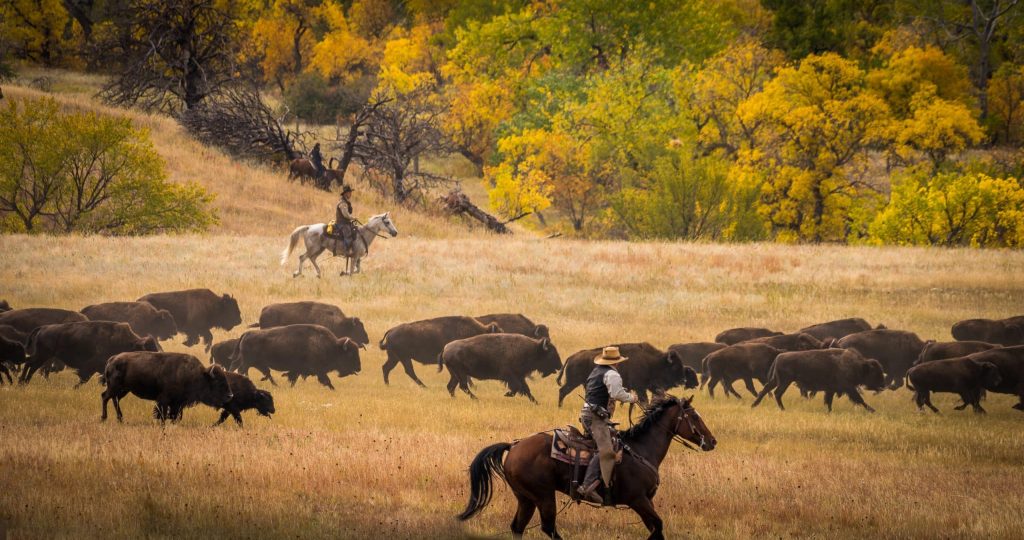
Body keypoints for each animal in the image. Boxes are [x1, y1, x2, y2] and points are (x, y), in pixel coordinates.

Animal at [21, 321, 159, 386]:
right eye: (146, 351)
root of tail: (43, 328)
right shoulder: (90, 367)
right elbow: (84, 378)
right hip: (42, 355)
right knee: (31, 366)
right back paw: (23, 382)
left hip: (44, 356)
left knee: (33, 366)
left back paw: (23, 382)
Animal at [102, 352, 233, 423]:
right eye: (217, 381)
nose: (230, 395)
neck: (197, 375)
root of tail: (112, 360)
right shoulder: (164, 400)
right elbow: (163, 414)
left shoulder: (178, 403)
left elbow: (176, 416)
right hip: (114, 387)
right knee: (105, 397)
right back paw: (104, 418)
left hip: (124, 390)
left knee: (114, 399)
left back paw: (119, 419)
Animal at [230, 324, 361, 389]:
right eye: (350, 354)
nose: (359, 368)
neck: (332, 346)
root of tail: (247, 333)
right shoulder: (319, 371)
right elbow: (327, 381)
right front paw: (333, 389)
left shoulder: (298, 370)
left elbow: (293, 378)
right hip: (248, 361)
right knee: (243, 370)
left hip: (251, 362)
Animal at [556, 342, 698, 407]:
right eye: (675, 366)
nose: (683, 380)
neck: (653, 362)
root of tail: (572, 357)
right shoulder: (640, 388)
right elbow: (644, 401)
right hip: (572, 382)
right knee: (562, 391)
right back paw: (560, 407)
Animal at [752, 349, 886, 412]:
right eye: (875, 373)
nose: (883, 385)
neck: (857, 365)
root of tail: (779, 357)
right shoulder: (849, 388)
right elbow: (859, 399)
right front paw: (873, 410)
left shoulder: (831, 390)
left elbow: (828, 401)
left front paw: (829, 411)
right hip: (785, 381)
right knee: (777, 393)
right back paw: (782, 409)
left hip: (776, 380)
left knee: (765, 390)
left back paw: (754, 405)